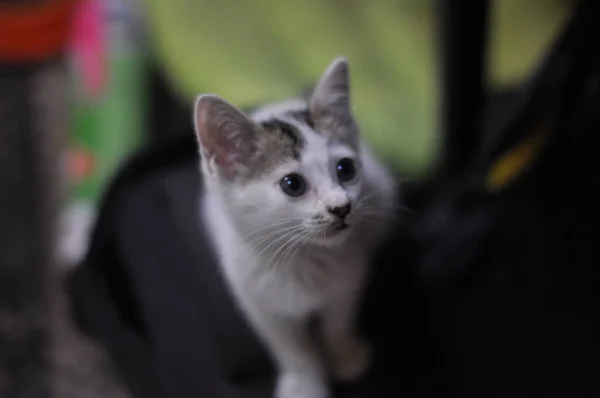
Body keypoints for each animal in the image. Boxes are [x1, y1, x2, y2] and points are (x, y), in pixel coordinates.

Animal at [195, 56, 396, 398]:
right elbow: (289, 346)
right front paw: (305, 382)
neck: (302, 258)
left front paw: (344, 355)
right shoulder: (255, 300)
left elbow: (338, 322)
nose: (341, 206)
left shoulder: (349, 277)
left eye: (346, 169)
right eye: (293, 184)